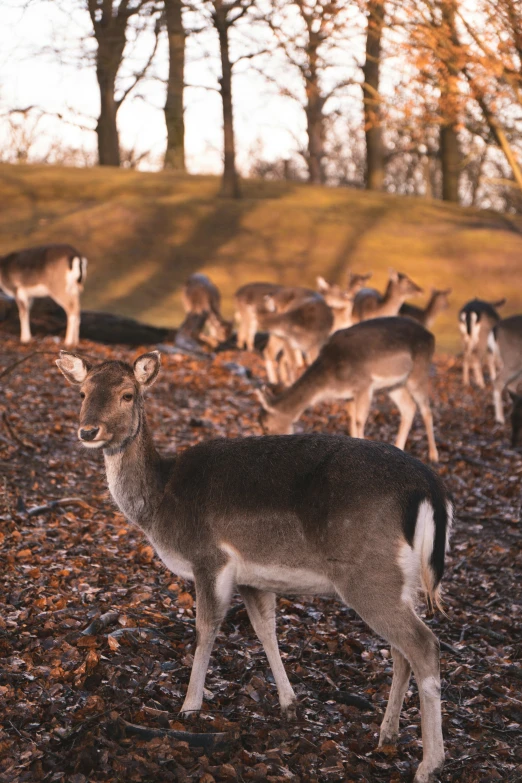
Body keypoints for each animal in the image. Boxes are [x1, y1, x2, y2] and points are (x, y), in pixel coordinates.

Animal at [55, 350, 450, 783]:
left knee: (423, 645)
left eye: (127, 394)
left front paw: (189, 707)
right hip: (402, 580)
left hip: (369, 574)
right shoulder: (253, 576)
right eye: (82, 391)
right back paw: (387, 733)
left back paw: (429, 763)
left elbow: (205, 629)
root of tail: (429, 487)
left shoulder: (209, 557)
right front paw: (290, 703)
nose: (88, 430)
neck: (160, 503)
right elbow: (265, 629)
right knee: (401, 650)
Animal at [256, 316, 438, 466]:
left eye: (266, 426)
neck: (333, 378)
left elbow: (359, 420)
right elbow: (351, 418)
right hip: (394, 385)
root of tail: (430, 336)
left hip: (418, 371)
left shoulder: (365, 383)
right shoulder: (349, 395)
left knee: (426, 409)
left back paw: (433, 456)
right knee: (409, 408)